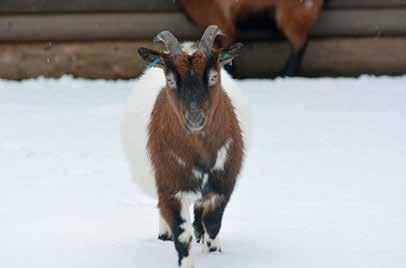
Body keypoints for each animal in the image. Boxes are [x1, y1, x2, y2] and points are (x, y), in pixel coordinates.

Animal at [119, 25, 247, 268]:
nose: (195, 117)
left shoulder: (223, 183)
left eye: (214, 76)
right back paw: (165, 235)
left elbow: (213, 223)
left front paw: (213, 252)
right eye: (170, 80)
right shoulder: (171, 185)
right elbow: (181, 233)